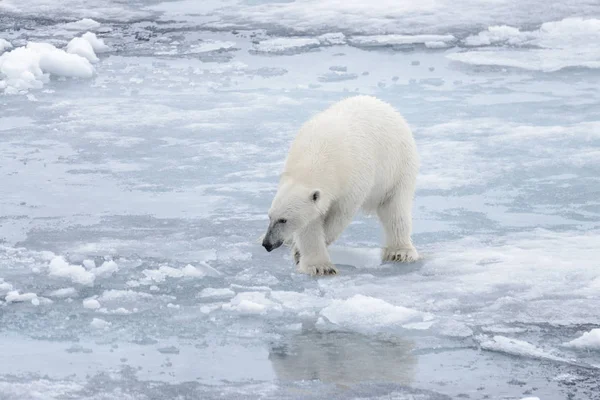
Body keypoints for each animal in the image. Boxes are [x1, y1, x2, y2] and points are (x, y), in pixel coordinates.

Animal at [260, 94, 420, 276]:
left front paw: (304, 256)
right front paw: (317, 265)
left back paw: (400, 252)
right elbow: (310, 223)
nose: (267, 244)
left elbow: (338, 216)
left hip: (399, 167)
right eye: (270, 216)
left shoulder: (353, 180)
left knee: (395, 209)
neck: (319, 154)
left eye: (283, 220)